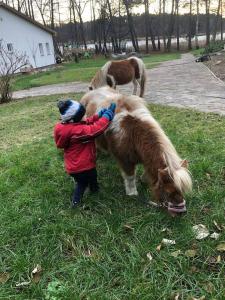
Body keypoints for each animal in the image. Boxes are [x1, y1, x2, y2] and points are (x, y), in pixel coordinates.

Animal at [80, 86, 192, 216]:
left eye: (182, 190)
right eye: (168, 191)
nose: (181, 213)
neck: (133, 135)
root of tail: (93, 91)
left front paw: (143, 180)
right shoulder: (125, 160)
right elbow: (130, 177)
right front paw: (132, 194)